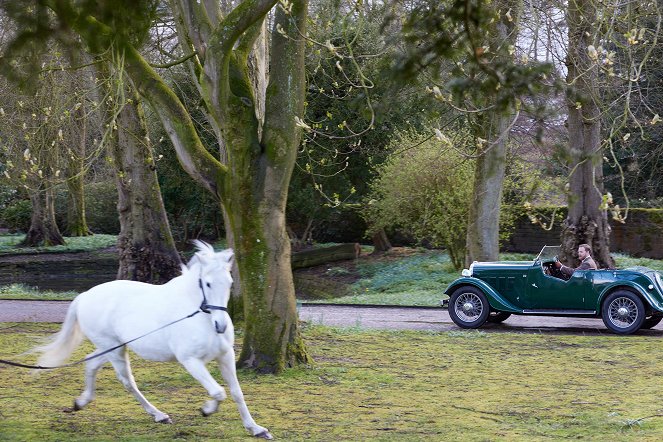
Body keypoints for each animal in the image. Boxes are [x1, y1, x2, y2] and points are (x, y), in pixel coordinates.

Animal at [33, 240, 272, 440]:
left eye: (230, 283)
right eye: (207, 284)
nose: (220, 326)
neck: (199, 316)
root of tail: (84, 296)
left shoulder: (225, 356)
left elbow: (236, 392)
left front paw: (256, 429)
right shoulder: (190, 361)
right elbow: (218, 391)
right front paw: (207, 409)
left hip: (113, 347)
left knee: (91, 364)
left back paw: (81, 403)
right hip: (113, 349)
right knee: (127, 381)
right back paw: (159, 415)